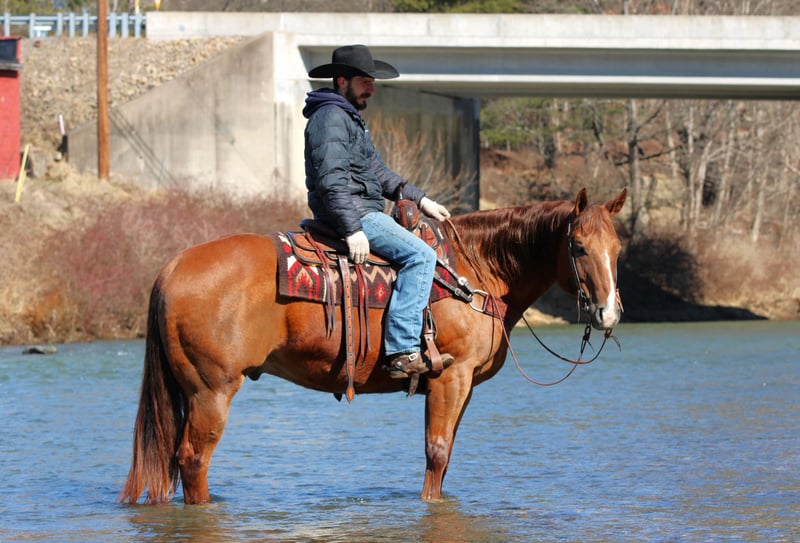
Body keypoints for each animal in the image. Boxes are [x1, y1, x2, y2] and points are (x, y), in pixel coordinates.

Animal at [118, 188, 627, 505]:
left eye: (618, 248)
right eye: (579, 247)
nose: (608, 313)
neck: (474, 270)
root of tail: (173, 266)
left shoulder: (464, 387)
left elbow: (447, 457)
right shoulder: (451, 377)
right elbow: (436, 453)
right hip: (212, 391)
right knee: (193, 461)